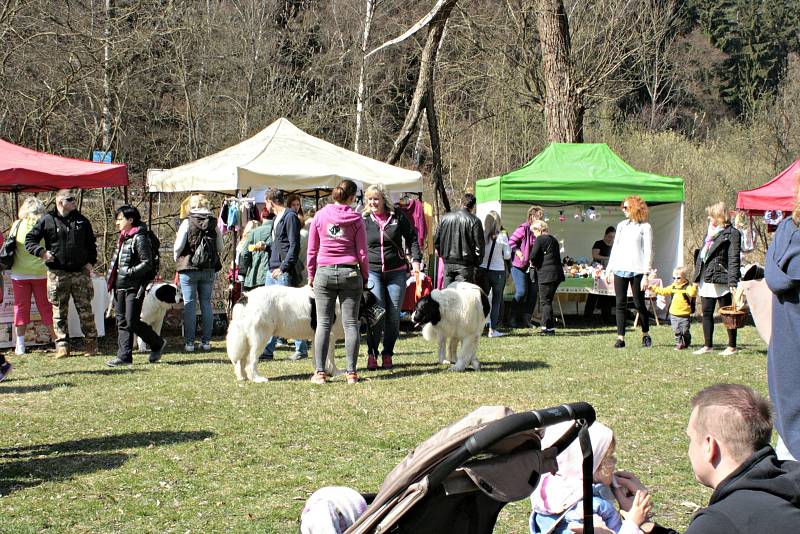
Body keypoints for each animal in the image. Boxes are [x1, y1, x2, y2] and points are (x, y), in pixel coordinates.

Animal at [223, 286, 376, 384]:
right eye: (371, 302)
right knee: (251, 360)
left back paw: (242, 377)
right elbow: (330, 358)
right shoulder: (330, 336)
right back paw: (257, 378)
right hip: (260, 336)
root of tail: (246, 297)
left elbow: (319, 356)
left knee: (240, 360)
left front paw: (323, 372)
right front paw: (335, 372)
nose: (381, 312)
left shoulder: (317, 336)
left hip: (246, 337)